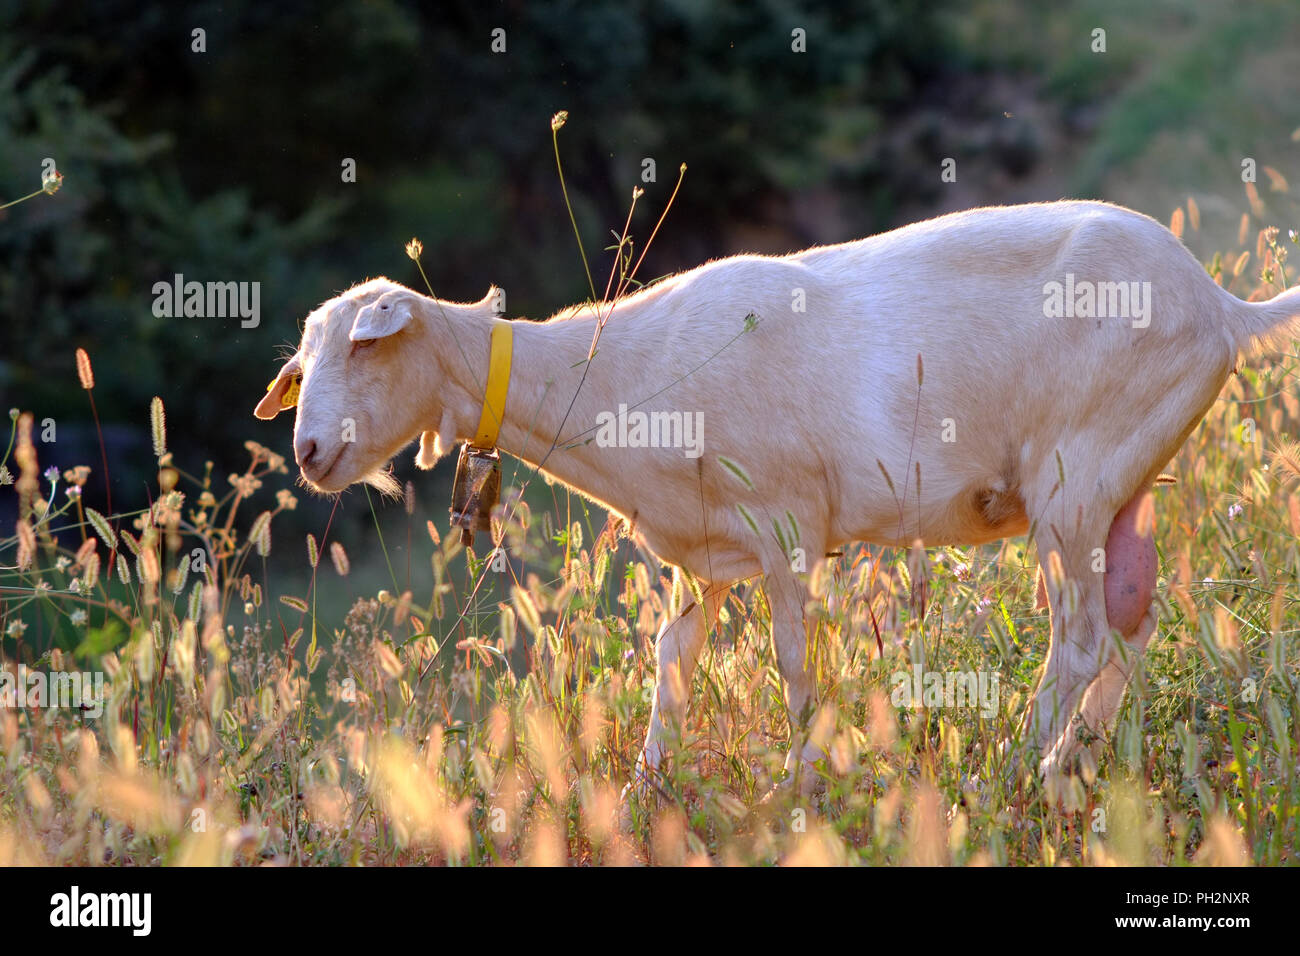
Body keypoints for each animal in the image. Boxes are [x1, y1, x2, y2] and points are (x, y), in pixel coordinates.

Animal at [253, 201, 1300, 785]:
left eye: (363, 348)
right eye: (303, 362)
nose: (308, 450)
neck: (622, 373)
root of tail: (1220, 305)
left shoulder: (789, 524)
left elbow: (796, 668)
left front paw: (800, 784)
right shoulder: (702, 555)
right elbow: (670, 666)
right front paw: (644, 792)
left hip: (1073, 480)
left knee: (1079, 638)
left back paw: (1021, 767)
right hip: (1124, 479)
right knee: (1129, 624)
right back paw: (1079, 766)